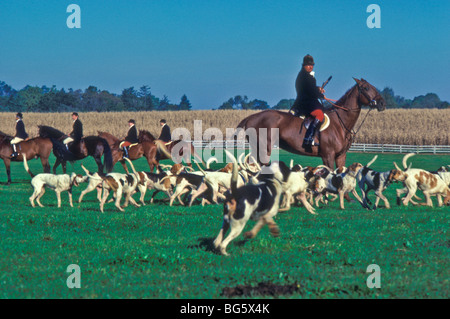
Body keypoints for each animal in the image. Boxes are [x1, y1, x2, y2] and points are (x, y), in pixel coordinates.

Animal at [237, 79, 384, 169]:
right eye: (366, 87)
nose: (382, 103)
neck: (340, 123)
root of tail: (250, 117)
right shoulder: (328, 155)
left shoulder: (340, 156)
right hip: (263, 148)